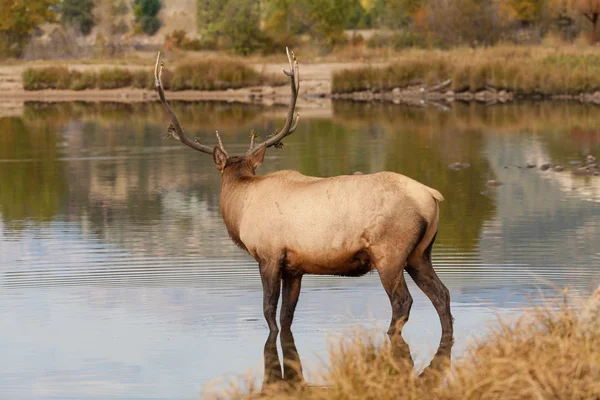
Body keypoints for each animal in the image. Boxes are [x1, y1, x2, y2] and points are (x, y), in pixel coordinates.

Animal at [152, 48, 452, 340]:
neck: (240, 207)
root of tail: (431, 196)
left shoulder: (269, 255)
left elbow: (269, 312)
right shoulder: (294, 268)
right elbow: (287, 315)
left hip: (389, 251)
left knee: (403, 301)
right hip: (420, 253)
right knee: (442, 294)